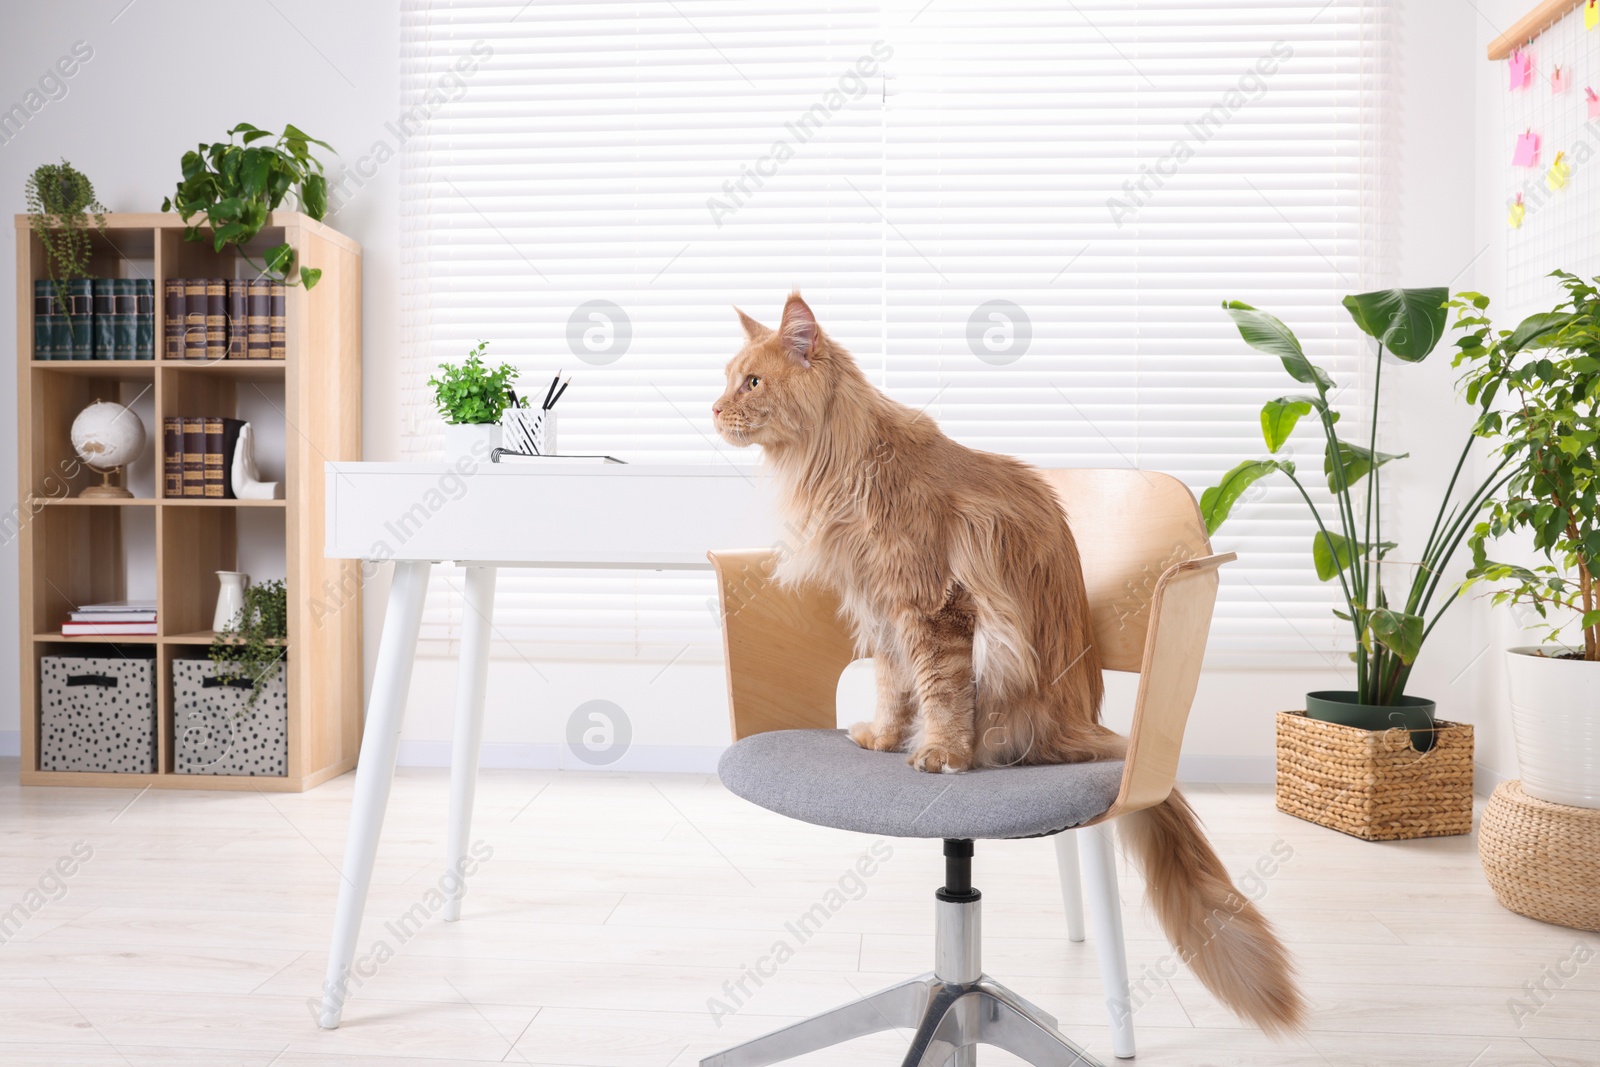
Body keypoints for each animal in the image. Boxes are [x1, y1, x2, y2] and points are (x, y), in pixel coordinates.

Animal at [720, 292, 1305, 1036]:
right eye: (728, 381)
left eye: (752, 383)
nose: (714, 409)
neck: (842, 462)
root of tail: (1092, 725)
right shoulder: (883, 613)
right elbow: (892, 684)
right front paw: (884, 737)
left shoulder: (930, 604)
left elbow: (937, 691)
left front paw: (938, 753)